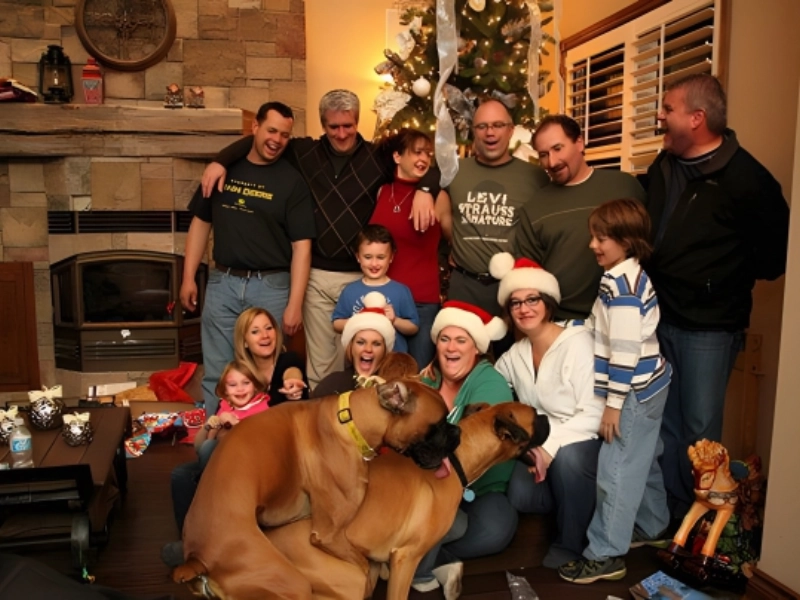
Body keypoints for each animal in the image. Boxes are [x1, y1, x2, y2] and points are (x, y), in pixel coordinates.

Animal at [172, 378, 459, 600]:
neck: (350, 421)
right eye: (439, 425)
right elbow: (364, 565)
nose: (457, 431)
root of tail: (196, 557)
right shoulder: (329, 535)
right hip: (289, 582)